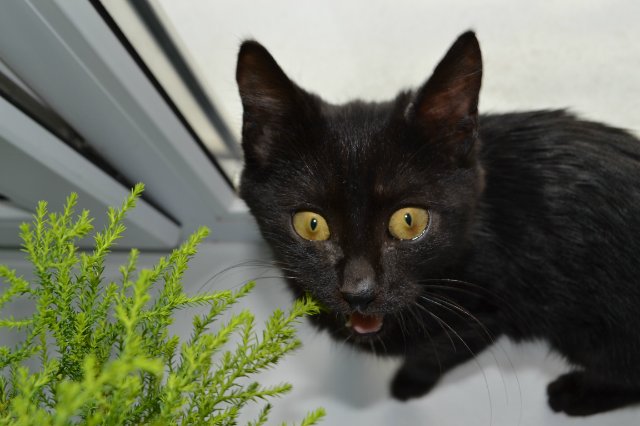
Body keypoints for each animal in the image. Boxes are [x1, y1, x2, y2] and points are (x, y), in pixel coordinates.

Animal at [235, 31, 640, 416]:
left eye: (409, 221)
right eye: (312, 224)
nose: (359, 292)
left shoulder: (485, 312)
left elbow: (435, 353)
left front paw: (408, 383)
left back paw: (573, 395)